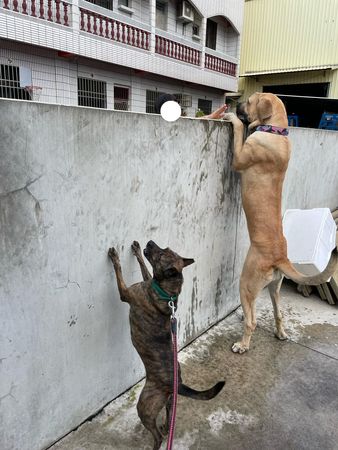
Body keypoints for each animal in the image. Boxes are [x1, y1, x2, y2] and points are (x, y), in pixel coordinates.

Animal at [108, 241, 224, 448]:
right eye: (165, 248)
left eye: (161, 255)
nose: (150, 242)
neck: (167, 292)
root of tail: (176, 384)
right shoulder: (149, 280)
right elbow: (145, 269)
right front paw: (137, 251)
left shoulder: (126, 293)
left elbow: (119, 272)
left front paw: (115, 258)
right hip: (169, 401)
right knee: (170, 417)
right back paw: (166, 426)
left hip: (145, 405)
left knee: (158, 436)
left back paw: (156, 442)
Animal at [210, 93, 336, 354]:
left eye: (249, 101)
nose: (235, 103)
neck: (276, 131)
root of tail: (280, 258)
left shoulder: (239, 158)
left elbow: (240, 130)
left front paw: (232, 118)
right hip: (274, 287)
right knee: (278, 314)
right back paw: (281, 333)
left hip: (246, 282)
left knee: (252, 321)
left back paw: (242, 345)